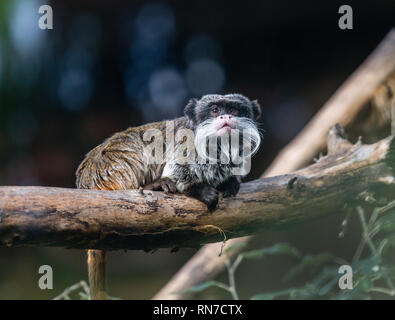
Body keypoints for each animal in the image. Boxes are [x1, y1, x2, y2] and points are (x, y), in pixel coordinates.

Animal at [76, 93, 264, 300]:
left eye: (234, 110)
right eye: (215, 110)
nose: (226, 117)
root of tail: (88, 182)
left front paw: (230, 183)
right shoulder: (186, 145)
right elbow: (178, 172)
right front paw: (200, 190)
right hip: (111, 166)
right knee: (134, 143)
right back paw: (154, 185)